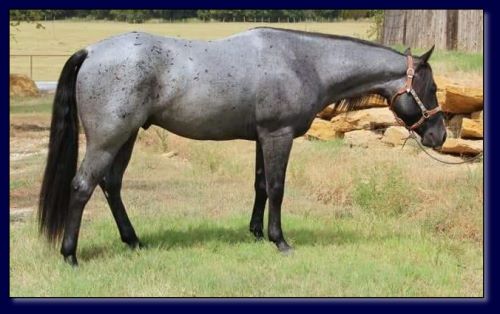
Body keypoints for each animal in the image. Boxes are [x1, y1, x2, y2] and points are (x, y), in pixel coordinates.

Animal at [38, 28, 446, 266]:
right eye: (431, 87)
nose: (439, 136)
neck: (303, 61)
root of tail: (91, 51)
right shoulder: (278, 135)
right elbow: (278, 188)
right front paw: (280, 241)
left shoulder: (262, 138)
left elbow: (261, 185)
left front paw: (255, 233)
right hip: (109, 137)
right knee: (82, 186)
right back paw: (70, 255)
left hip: (127, 136)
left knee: (111, 185)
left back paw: (133, 241)